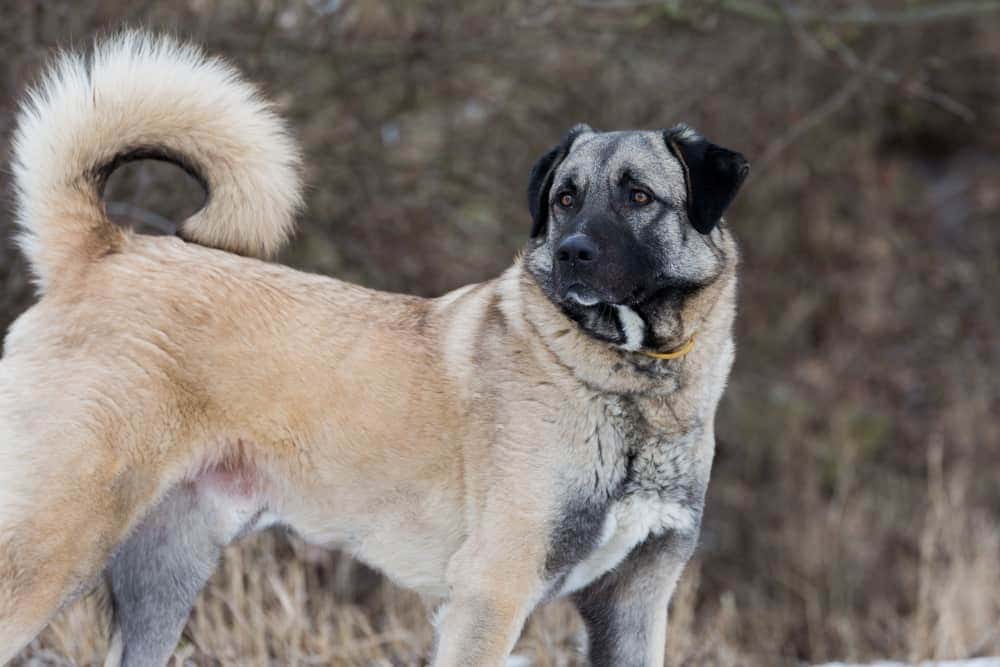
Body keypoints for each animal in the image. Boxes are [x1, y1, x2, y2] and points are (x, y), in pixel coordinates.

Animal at [1, 32, 752, 667]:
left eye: (639, 196)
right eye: (565, 198)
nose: (571, 252)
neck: (631, 387)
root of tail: (104, 251)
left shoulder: (633, 603)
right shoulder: (491, 592)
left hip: (163, 576)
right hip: (53, 544)